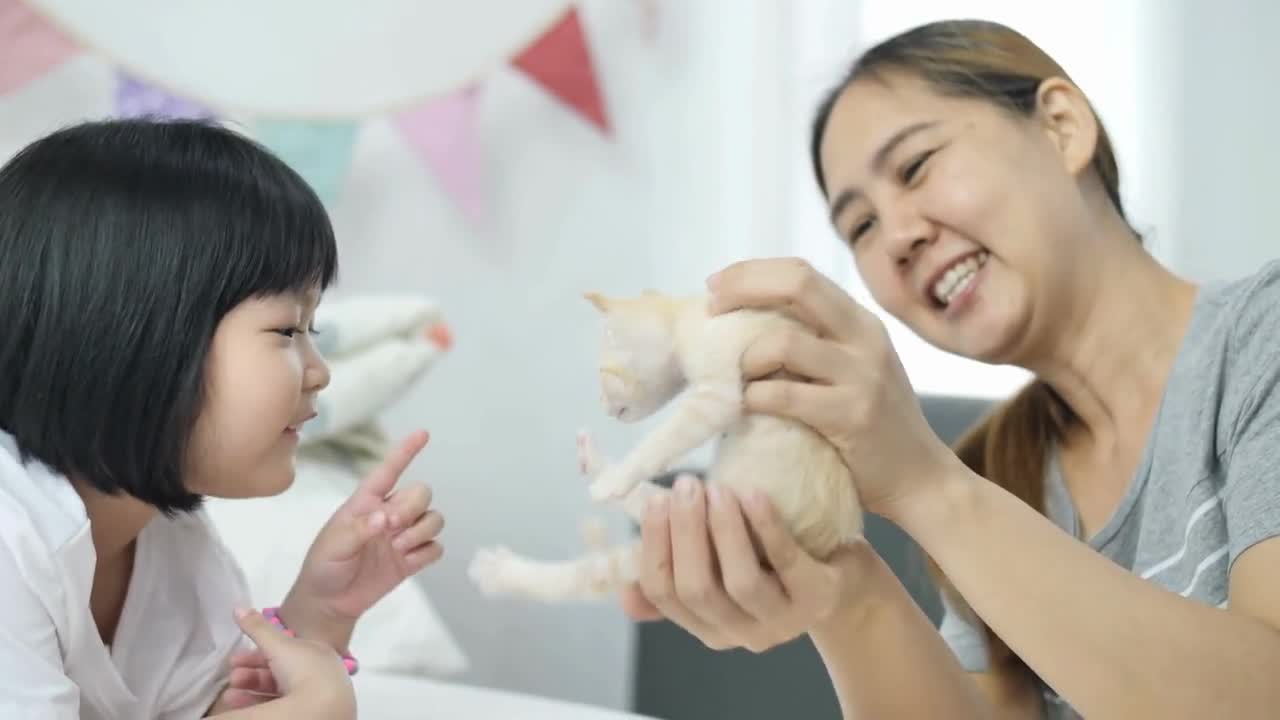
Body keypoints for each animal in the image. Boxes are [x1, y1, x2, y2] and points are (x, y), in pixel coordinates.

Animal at [465, 286, 865, 599]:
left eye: (601, 375)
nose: (601, 405)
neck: (684, 314)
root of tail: (825, 541)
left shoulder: (715, 392)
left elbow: (662, 438)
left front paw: (619, 476)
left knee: (601, 564)